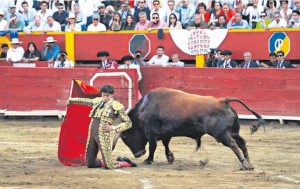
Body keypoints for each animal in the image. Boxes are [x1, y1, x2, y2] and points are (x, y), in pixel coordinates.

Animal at [113, 88, 264, 170]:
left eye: (125, 137)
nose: (138, 154)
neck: (143, 109)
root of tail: (222, 101)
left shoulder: (151, 133)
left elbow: (153, 147)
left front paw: (148, 160)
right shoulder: (166, 133)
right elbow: (166, 144)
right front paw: (170, 157)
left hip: (221, 134)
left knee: (233, 144)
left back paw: (245, 164)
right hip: (233, 131)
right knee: (242, 143)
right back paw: (249, 163)